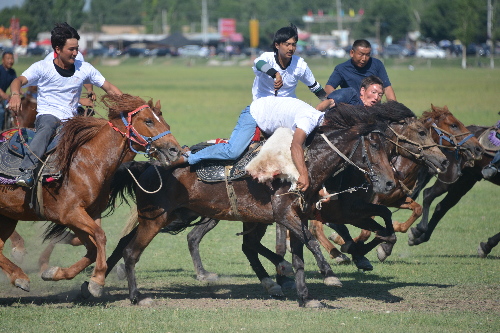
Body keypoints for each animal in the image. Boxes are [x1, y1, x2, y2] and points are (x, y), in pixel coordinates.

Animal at [0, 94, 182, 296]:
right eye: (148, 121)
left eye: (164, 122)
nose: (175, 150)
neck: (88, 163)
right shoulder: (70, 213)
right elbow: (100, 237)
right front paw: (97, 281)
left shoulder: (89, 213)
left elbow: (93, 248)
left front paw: (55, 273)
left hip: (8, 215)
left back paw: (19, 277)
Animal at [99, 102, 400, 306]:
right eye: (374, 146)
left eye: (389, 148)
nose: (389, 183)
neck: (307, 162)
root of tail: (148, 167)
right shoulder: (286, 215)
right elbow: (312, 243)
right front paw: (329, 273)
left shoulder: (298, 217)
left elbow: (300, 256)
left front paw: (305, 297)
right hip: (159, 218)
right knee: (131, 252)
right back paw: (135, 296)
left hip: (176, 216)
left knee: (127, 244)